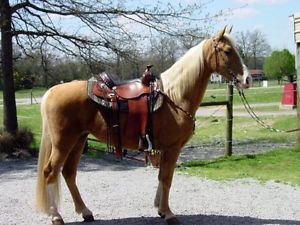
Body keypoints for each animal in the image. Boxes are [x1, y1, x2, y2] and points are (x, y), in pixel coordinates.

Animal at [35, 27, 246, 224]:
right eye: (228, 51)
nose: (247, 79)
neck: (174, 96)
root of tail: (52, 91)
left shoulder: (165, 150)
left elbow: (161, 177)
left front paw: (160, 209)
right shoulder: (172, 148)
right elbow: (167, 179)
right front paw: (169, 214)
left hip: (78, 140)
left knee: (68, 173)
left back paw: (85, 212)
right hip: (63, 143)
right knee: (50, 172)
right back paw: (56, 216)